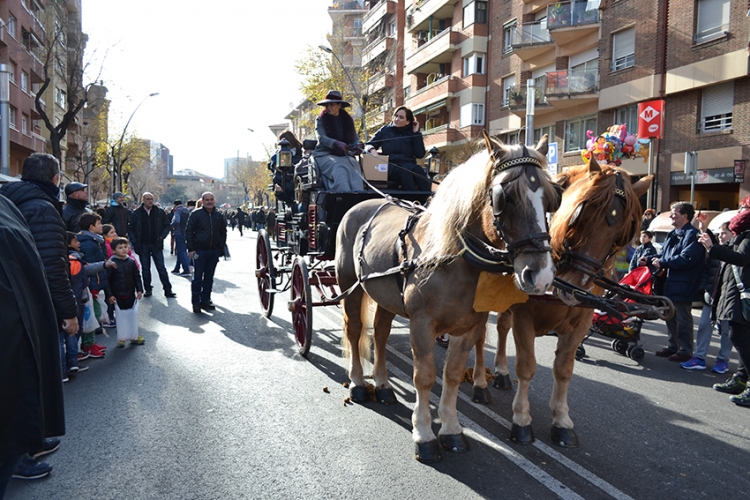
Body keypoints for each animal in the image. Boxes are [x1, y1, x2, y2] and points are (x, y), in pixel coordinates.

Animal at [336, 133, 564, 460]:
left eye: (552, 198)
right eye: (504, 197)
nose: (542, 275)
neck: (453, 256)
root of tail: (363, 204)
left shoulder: (468, 326)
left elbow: (453, 374)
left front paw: (451, 428)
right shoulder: (421, 323)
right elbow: (424, 376)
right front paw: (424, 432)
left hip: (385, 296)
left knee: (379, 334)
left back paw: (382, 384)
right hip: (350, 285)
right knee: (355, 330)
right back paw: (357, 382)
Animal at [458, 156, 652, 446]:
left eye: (622, 230)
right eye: (582, 211)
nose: (575, 285)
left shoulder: (580, 322)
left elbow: (564, 369)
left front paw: (561, 420)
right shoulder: (524, 316)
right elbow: (527, 366)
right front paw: (522, 419)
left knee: (501, 327)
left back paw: (501, 372)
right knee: (480, 337)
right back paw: (481, 383)